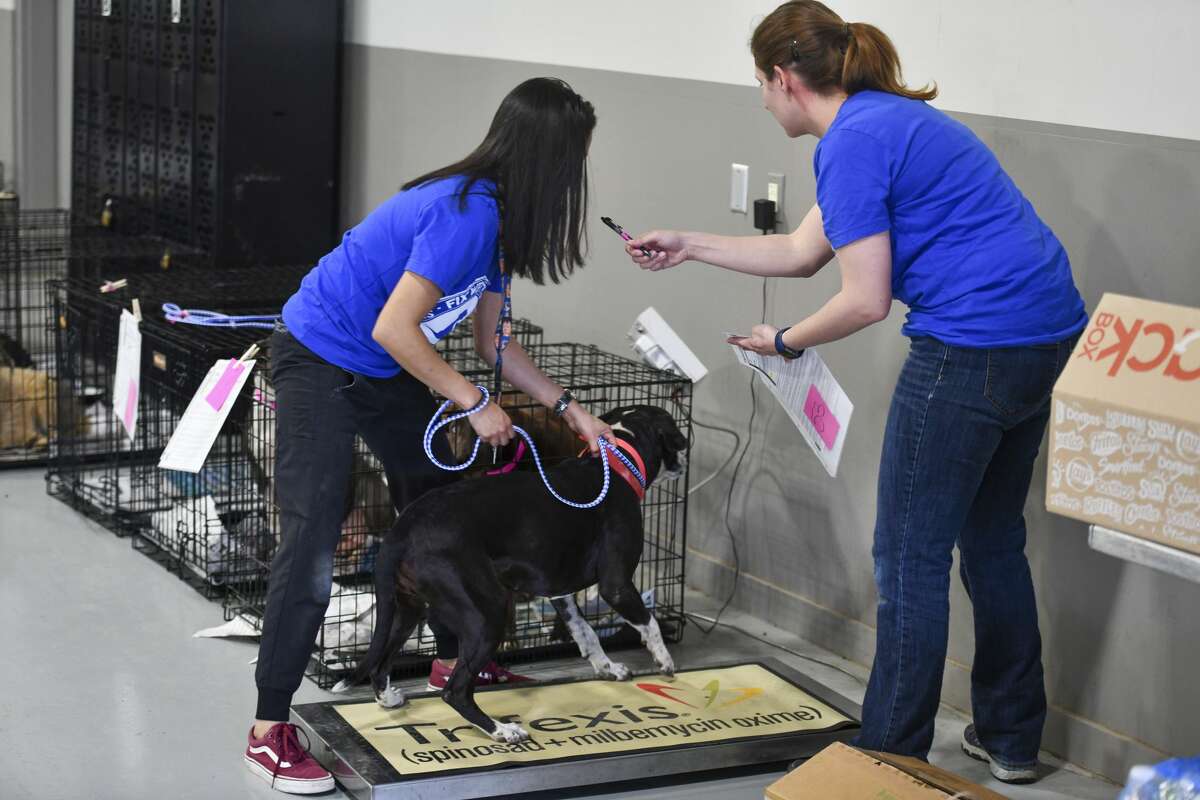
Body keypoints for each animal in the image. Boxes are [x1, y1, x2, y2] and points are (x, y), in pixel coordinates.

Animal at [340, 407, 696, 743]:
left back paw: (388, 699)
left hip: (407, 608)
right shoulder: (617, 585)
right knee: (455, 690)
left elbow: (585, 632)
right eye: (677, 437)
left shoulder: (560, 591)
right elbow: (649, 621)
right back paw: (501, 730)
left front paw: (606, 667)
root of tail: (402, 529)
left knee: (380, 665)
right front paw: (664, 660)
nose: (685, 455)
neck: (616, 460)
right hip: (487, 612)